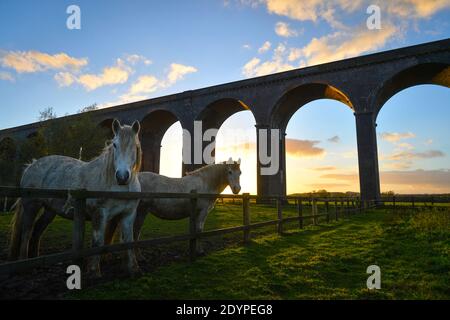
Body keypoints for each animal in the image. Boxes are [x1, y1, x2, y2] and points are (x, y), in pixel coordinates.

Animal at [9, 119, 142, 276]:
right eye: (115, 144)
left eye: (135, 145)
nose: (122, 177)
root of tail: (31, 165)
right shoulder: (99, 214)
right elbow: (97, 241)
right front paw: (94, 271)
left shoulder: (128, 214)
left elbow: (129, 240)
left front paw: (134, 269)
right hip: (32, 206)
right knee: (27, 232)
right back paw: (24, 264)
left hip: (49, 210)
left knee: (37, 230)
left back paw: (36, 261)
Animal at [105, 159, 241, 254]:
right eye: (229, 172)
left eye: (240, 172)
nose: (237, 189)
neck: (205, 183)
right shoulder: (202, 212)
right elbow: (199, 231)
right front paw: (200, 251)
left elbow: (194, 231)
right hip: (140, 212)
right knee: (135, 232)